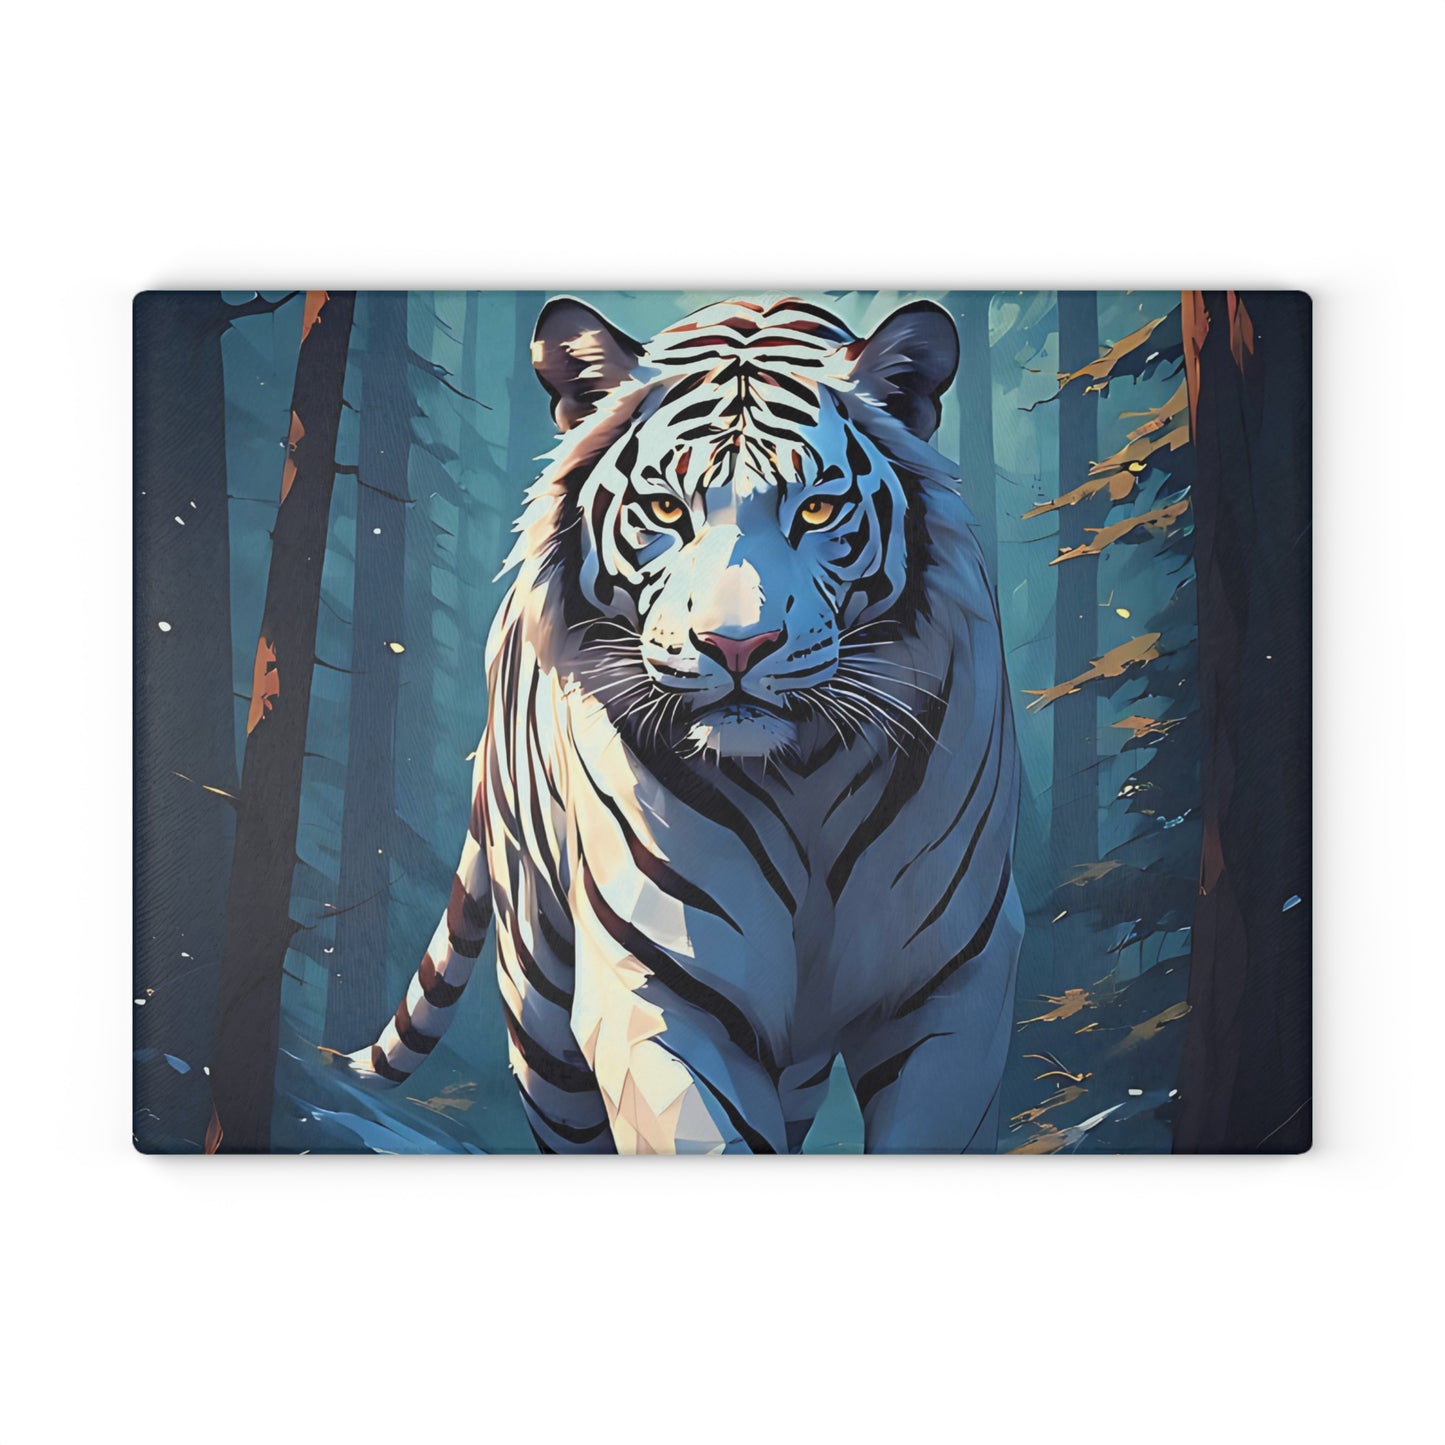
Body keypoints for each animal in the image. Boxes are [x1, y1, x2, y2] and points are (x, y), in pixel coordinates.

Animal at [337, 294, 1024, 1154]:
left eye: (816, 509)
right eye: (666, 508)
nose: (737, 646)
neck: (801, 777)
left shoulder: (953, 991)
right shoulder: (664, 989)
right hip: (542, 999)